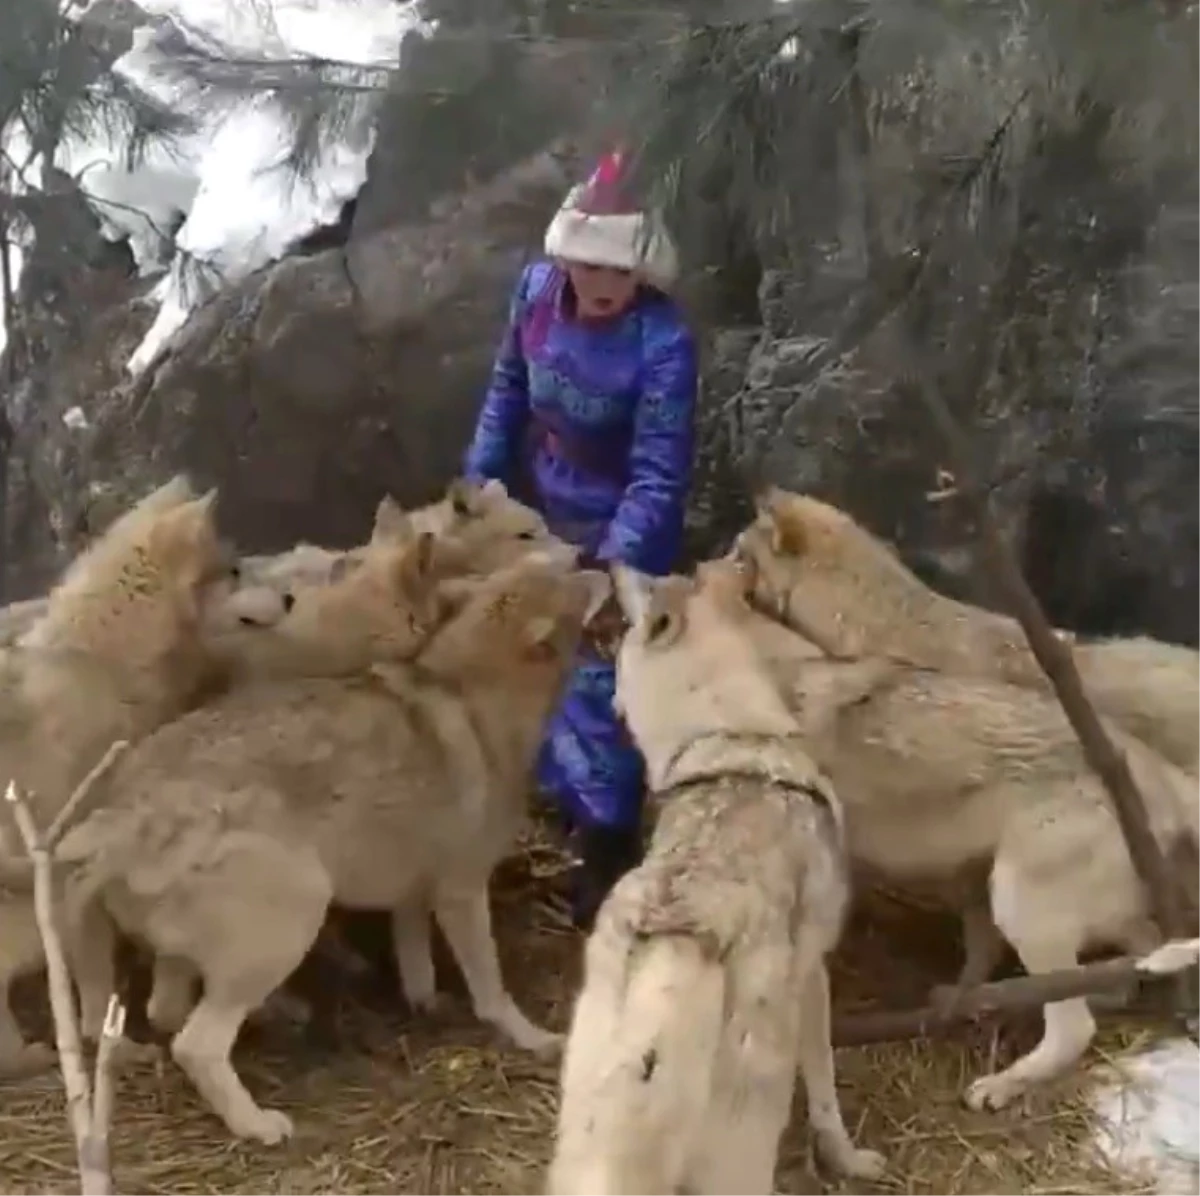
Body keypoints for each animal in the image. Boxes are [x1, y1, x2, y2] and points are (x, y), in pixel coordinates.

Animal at [23, 549, 609, 1137]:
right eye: (574, 586)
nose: (595, 561)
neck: (466, 693)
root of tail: (117, 818)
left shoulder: (412, 891)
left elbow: (415, 960)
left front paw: (426, 1002)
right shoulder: (461, 891)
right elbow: (491, 988)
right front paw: (530, 1037)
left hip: (193, 953)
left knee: (166, 1013)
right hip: (298, 915)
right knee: (196, 1044)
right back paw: (257, 1124)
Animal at [544, 559, 883, 1194]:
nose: (611, 564)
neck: (732, 733)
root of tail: (673, 933)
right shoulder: (816, 977)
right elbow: (826, 1091)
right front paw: (849, 1160)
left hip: (582, 1151)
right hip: (744, 1148)